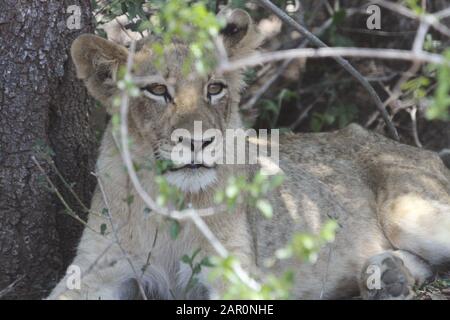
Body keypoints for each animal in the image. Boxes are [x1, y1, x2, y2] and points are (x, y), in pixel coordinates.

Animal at [47, 8, 448, 300]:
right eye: (158, 90)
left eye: (215, 88)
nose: (199, 141)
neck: (170, 202)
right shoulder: (95, 269)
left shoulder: (234, 275)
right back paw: (387, 276)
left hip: (413, 213)